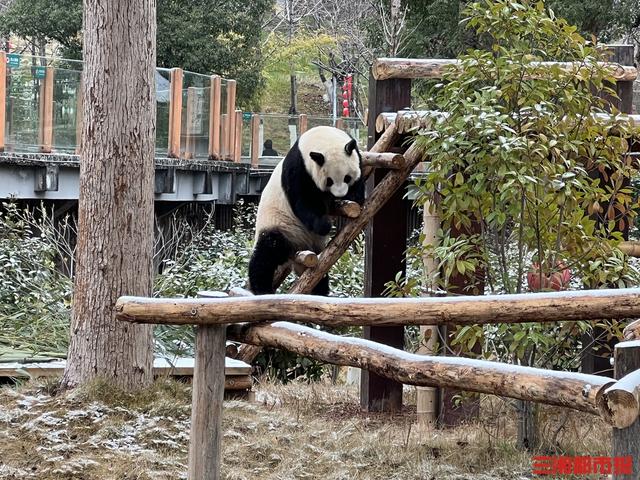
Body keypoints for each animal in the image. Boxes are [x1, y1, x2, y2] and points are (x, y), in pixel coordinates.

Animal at [249, 125, 362, 294]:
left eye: (347, 177)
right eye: (329, 181)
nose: (340, 194)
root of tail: (298, 251)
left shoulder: (357, 156)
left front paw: (354, 197)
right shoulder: (298, 169)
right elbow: (302, 203)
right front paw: (325, 225)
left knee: (319, 276)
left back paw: (319, 292)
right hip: (281, 226)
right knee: (267, 252)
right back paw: (261, 288)